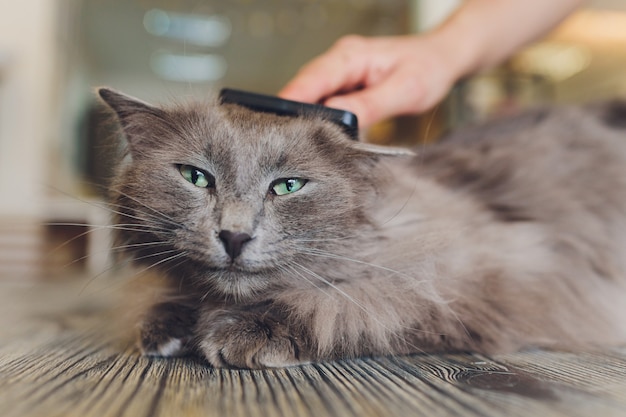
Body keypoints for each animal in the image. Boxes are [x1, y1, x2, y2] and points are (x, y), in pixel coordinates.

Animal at [97, 88, 624, 368]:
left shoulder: (477, 275)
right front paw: (168, 326)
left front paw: (239, 332)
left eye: (288, 186)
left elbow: (343, 306)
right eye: (196, 177)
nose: (234, 235)